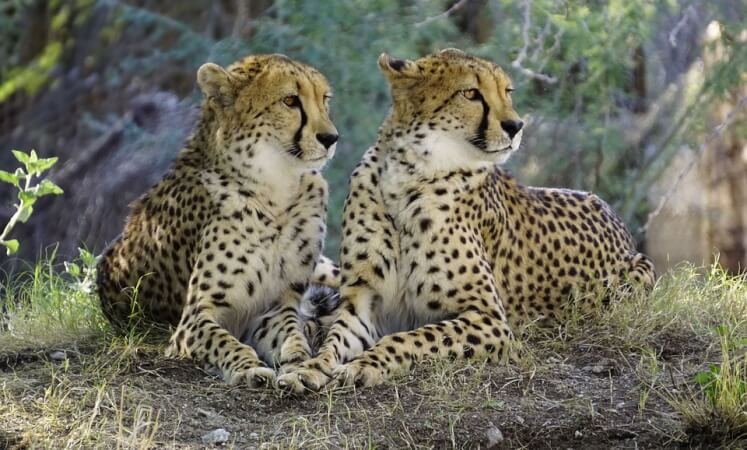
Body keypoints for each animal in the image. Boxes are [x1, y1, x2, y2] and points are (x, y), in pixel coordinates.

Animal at [96, 54, 342, 387]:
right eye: (290, 100)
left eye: (324, 99)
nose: (330, 138)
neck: (276, 189)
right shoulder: (194, 318)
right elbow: (224, 341)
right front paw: (248, 368)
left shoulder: (274, 307)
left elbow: (293, 336)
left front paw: (300, 363)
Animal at [277, 49, 656, 392]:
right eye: (471, 93)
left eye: (507, 91)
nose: (515, 126)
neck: (408, 174)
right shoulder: (363, 300)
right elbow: (335, 340)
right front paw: (308, 368)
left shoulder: (490, 319)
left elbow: (412, 337)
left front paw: (366, 365)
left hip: (633, 277)